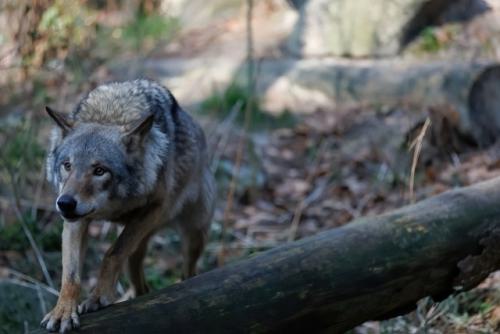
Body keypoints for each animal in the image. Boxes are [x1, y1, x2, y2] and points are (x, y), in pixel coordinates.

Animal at [40, 78, 216, 332]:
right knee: (142, 285)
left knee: (189, 271)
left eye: (99, 170)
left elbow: (112, 253)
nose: (64, 204)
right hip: (137, 253)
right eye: (67, 165)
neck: (110, 115)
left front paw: (99, 296)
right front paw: (63, 311)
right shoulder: (75, 222)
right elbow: (70, 274)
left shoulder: (155, 207)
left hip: (194, 237)